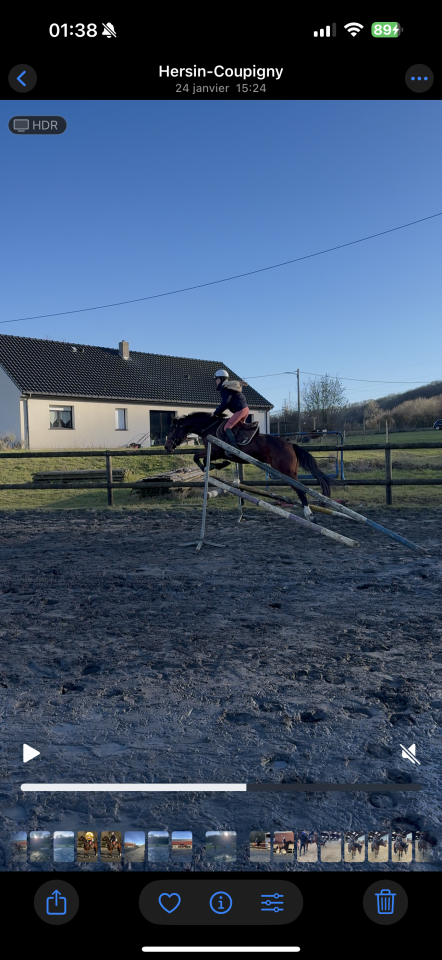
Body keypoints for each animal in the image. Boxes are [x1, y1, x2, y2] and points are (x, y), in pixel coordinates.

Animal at [164, 413, 332, 521]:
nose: (167, 447)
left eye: (171, 429)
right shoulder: (215, 452)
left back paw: (309, 514)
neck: (207, 427)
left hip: (286, 471)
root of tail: (290, 445)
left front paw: (215, 466)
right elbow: (202, 460)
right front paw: (217, 466)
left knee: (300, 489)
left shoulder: (216, 451)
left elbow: (197, 457)